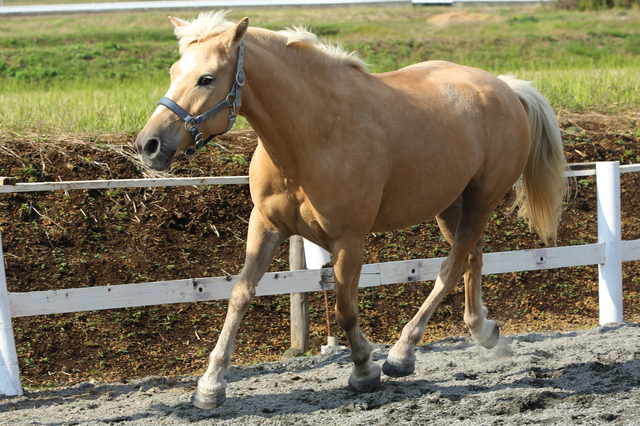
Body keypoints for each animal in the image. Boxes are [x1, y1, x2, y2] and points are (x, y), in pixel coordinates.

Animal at [135, 11, 568, 410]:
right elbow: (240, 295)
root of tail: (504, 87)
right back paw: (482, 330)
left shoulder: (349, 241)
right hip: (450, 206)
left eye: (207, 78)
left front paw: (364, 369)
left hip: (481, 199)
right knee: (471, 258)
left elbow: (345, 310)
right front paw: (210, 385)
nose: (148, 145)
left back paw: (403, 354)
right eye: (174, 71)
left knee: (451, 267)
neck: (311, 137)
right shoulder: (266, 225)